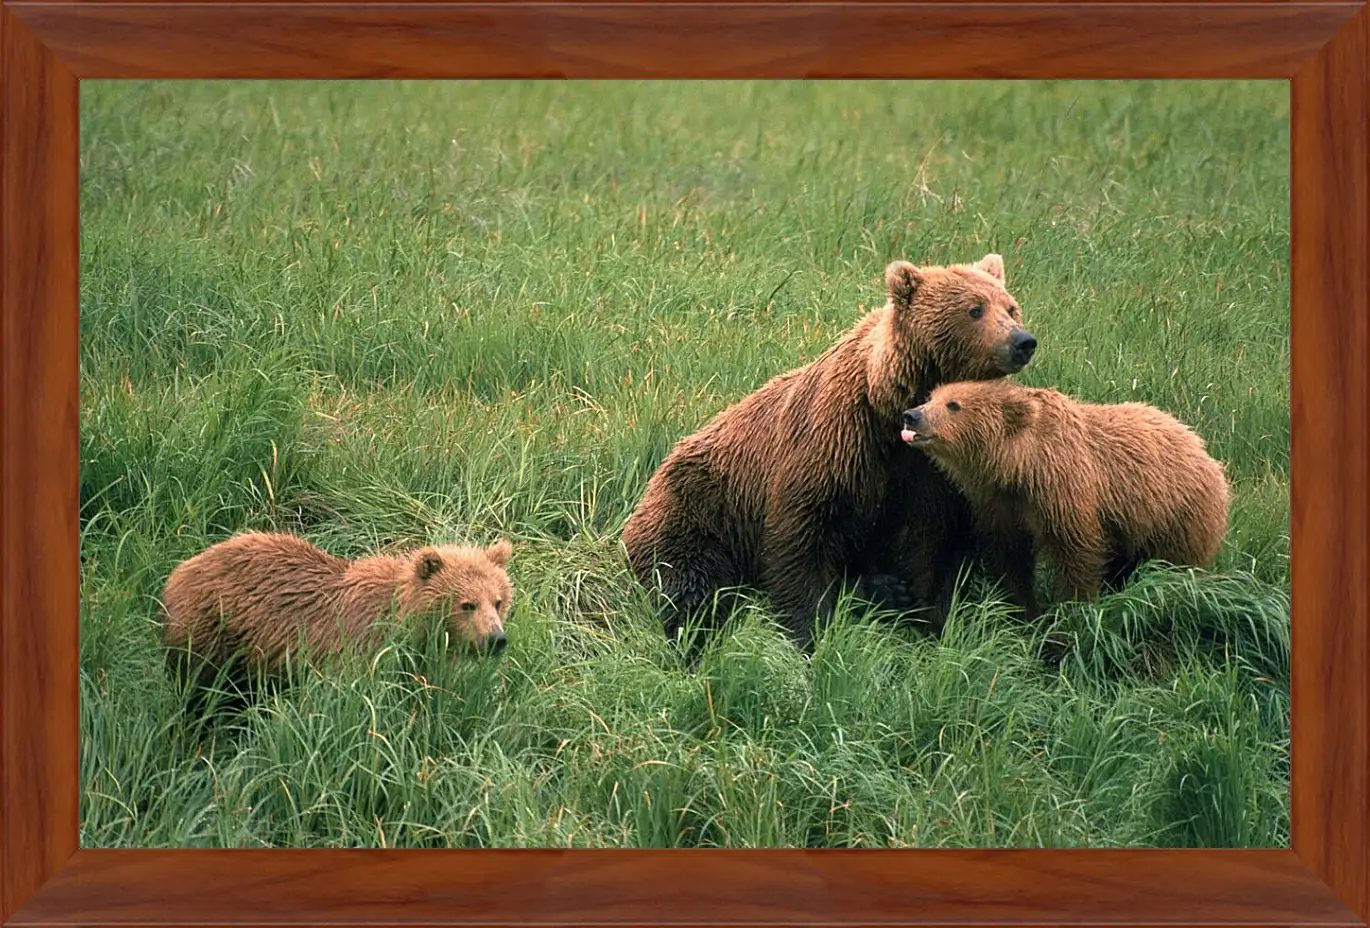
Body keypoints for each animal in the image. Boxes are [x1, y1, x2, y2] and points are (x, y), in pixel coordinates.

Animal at [624, 249, 1035, 646]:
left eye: (1010, 307)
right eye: (975, 309)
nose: (1022, 341)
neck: (893, 409)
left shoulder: (937, 471)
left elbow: (932, 546)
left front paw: (930, 620)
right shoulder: (837, 441)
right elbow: (802, 536)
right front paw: (808, 632)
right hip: (701, 510)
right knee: (687, 578)